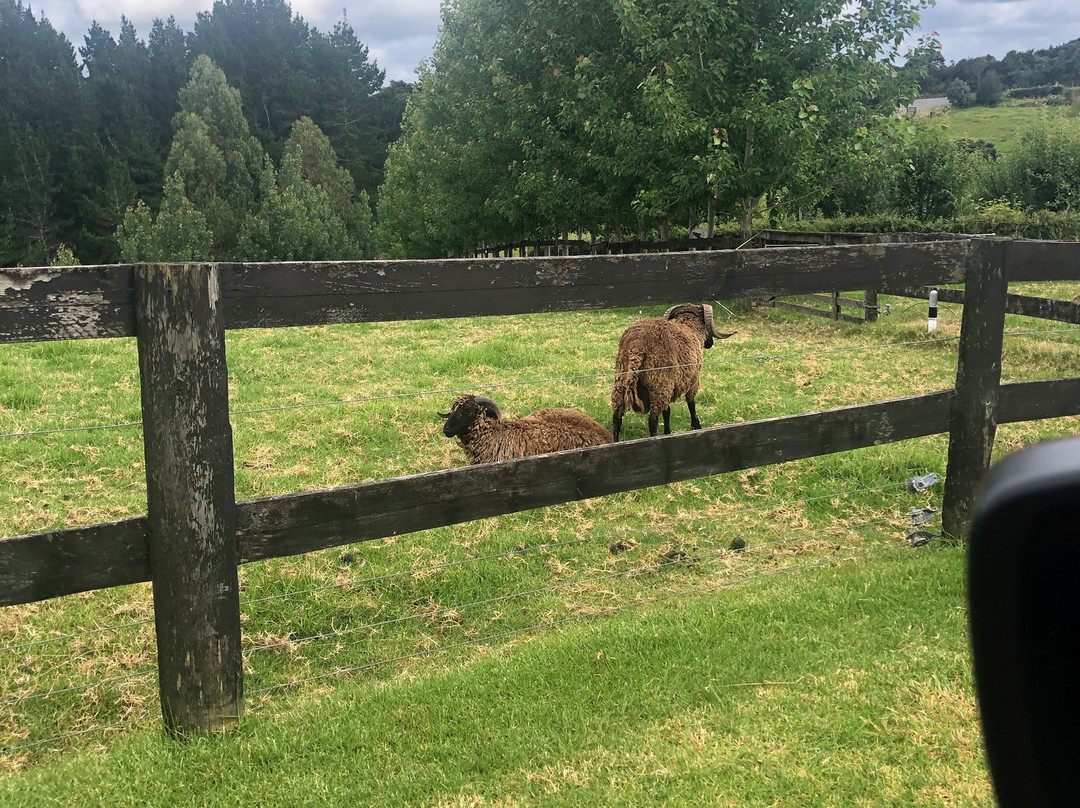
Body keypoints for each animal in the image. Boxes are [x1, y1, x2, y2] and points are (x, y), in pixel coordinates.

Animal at [610, 303, 734, 441]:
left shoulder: (672, 386)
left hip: (621, 380)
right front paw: (696, 425)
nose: (710, 343)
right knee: (652, 420)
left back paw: (615, 441)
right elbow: (691, 403)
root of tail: (636, 348)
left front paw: (668, 432)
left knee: (617, 417)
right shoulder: (693, 380)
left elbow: (667, 411)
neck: (691, 330)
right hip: (660, 383)